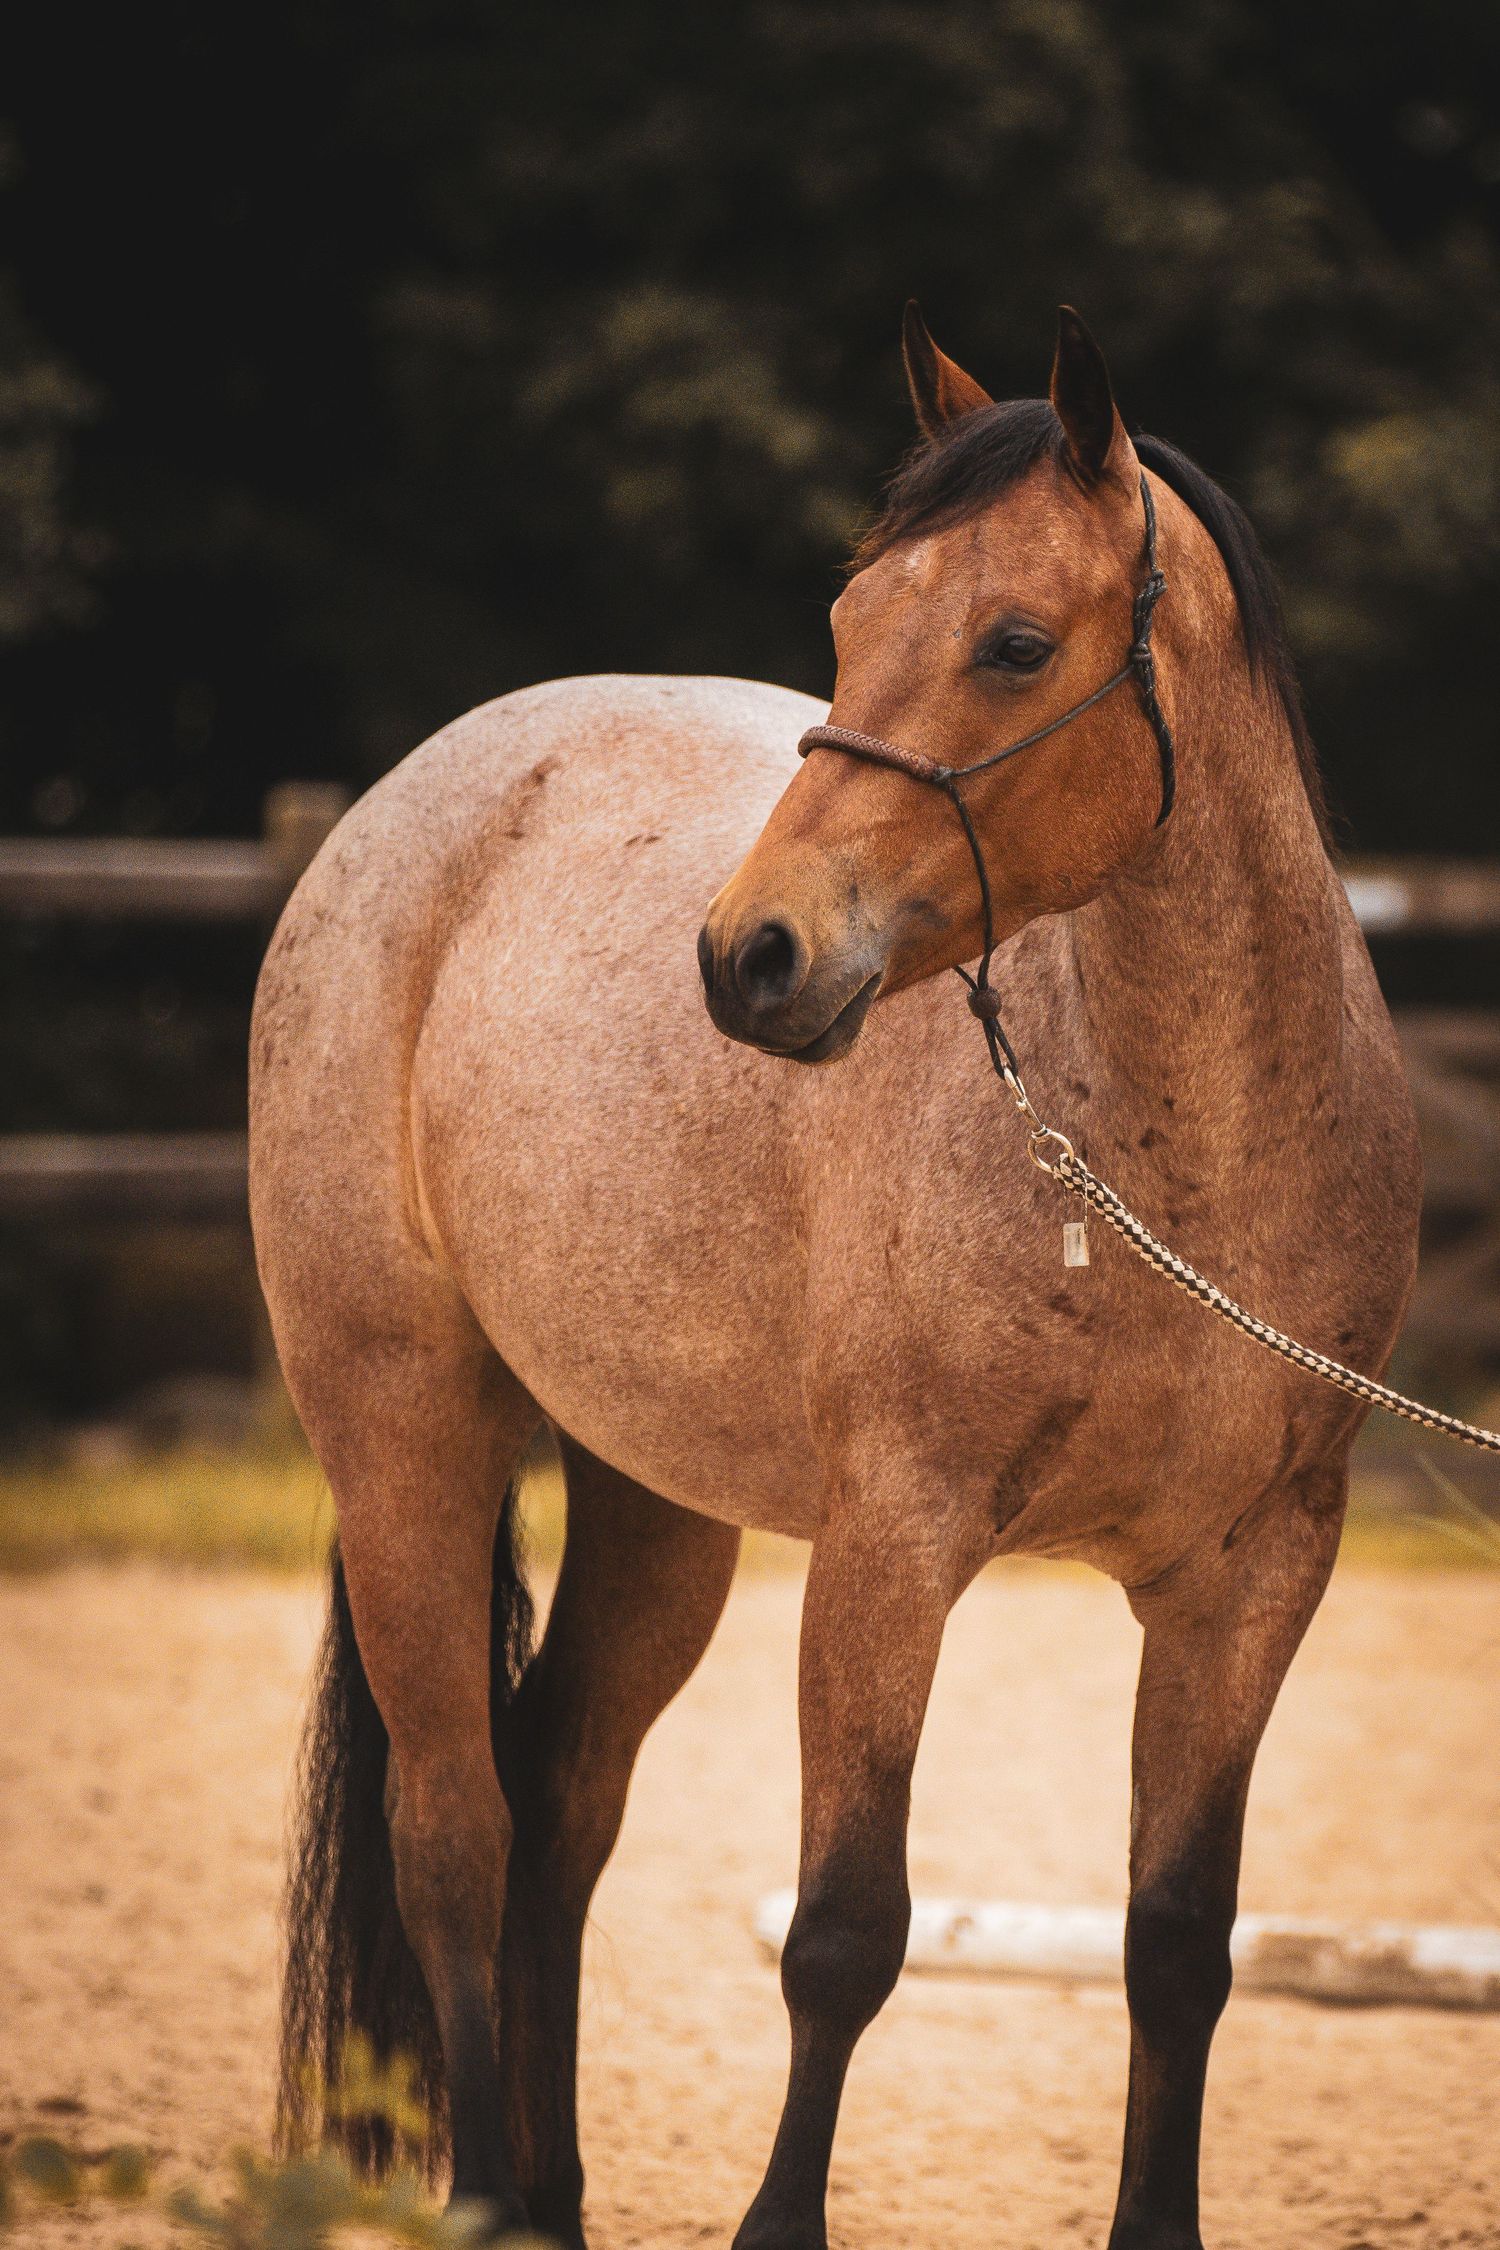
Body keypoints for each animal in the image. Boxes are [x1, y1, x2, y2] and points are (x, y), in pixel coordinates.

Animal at [250, 304, 1421, 2250]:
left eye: (1015, 644)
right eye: (850, 618)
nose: (750, 957)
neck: (1168, 1164)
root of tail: (403, 806)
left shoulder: (1257, 1572)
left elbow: (1181, 1944)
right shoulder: (894, 1548)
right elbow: (846, 1939)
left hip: (655, 1502)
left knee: (560, 1807)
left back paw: (553, 2202)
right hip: (405, 1425)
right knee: (457, 1834)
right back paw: (489, 2192)